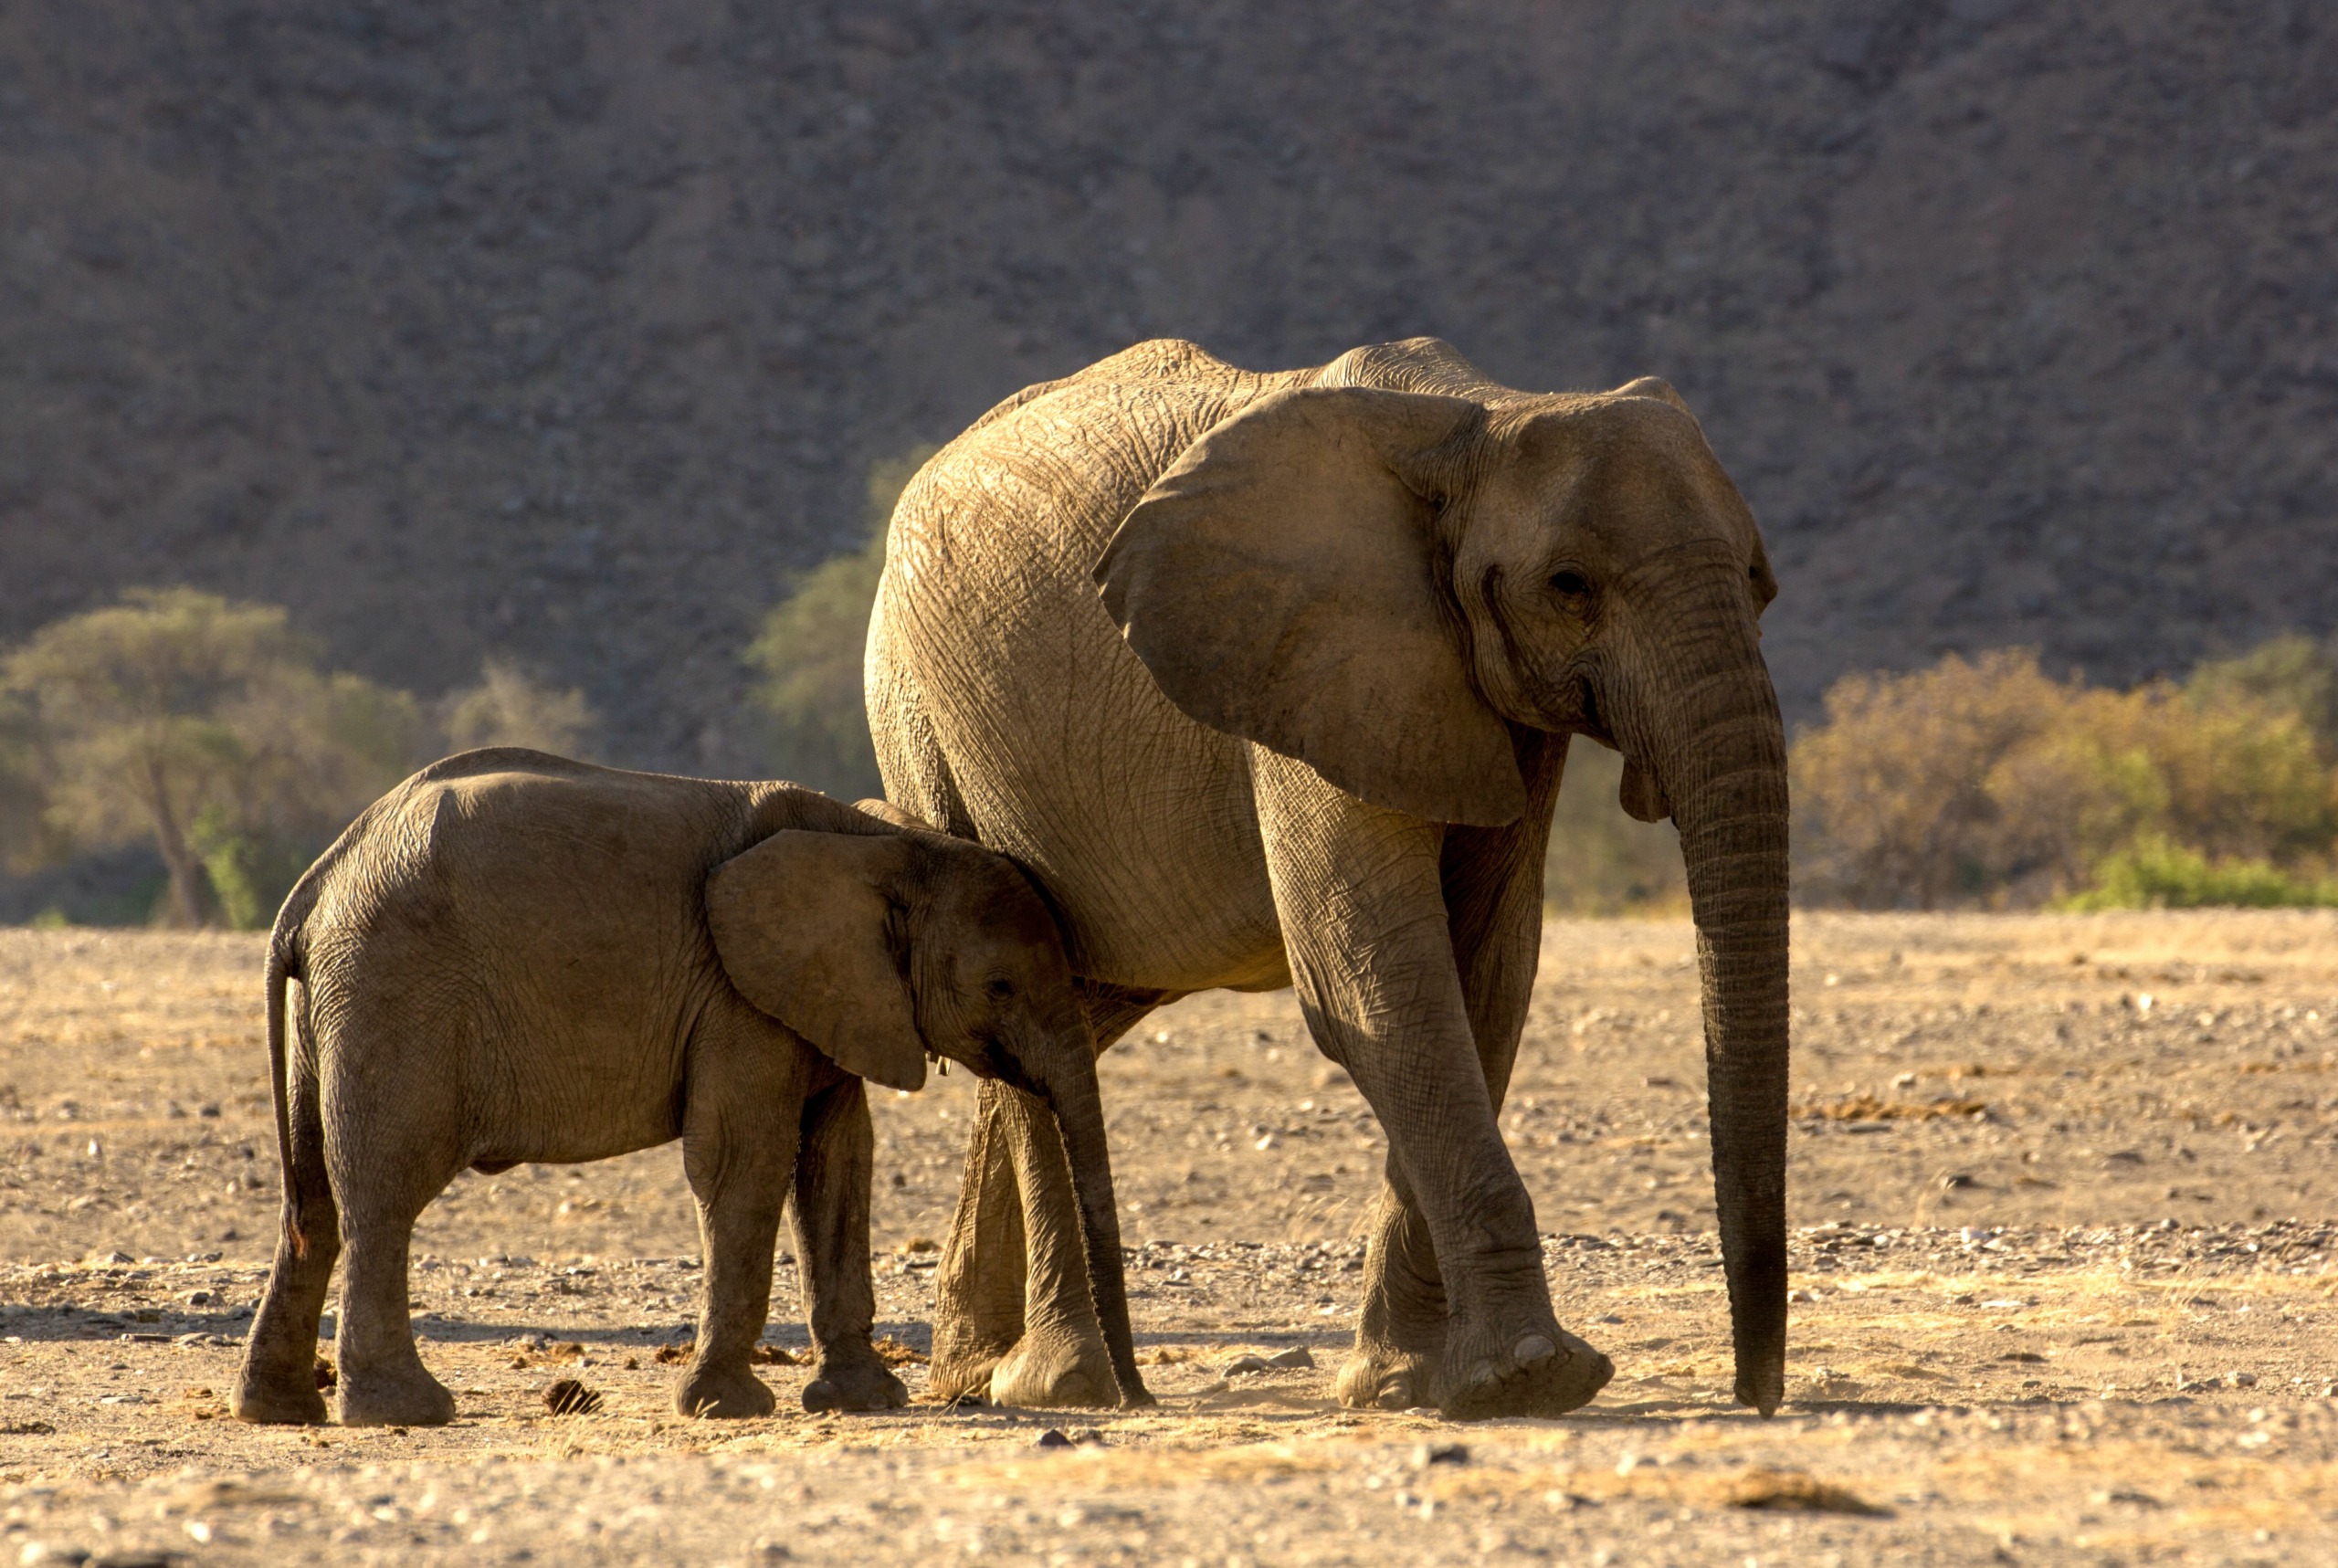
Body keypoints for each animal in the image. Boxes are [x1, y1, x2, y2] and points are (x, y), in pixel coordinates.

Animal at [232, 752, 1145, 1430]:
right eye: (999, 987)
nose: (1133, 1399)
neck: (884, 841)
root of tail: (314, 886)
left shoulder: (829, 995)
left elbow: (840, 1162)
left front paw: (865, 1401)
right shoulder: (739, 995)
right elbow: (747, 1160)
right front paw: (727, 1406)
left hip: (338, 1006)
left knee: (312, 1200)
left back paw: (280, 1411)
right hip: (395, 996)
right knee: (385, 1193)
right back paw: (409, 1410)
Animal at [865, 333, 1785, 1420]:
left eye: (1762, 582)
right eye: (1569, 585)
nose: (1757, 1392)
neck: (1479, 420)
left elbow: (1484, 975)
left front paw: (1403, 1383)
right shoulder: (1304, 659)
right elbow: (1373, 979)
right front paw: (1535, 1375)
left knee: (1061, 1016)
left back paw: (976, 1372)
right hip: (919, 717)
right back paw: (1068, 1384)